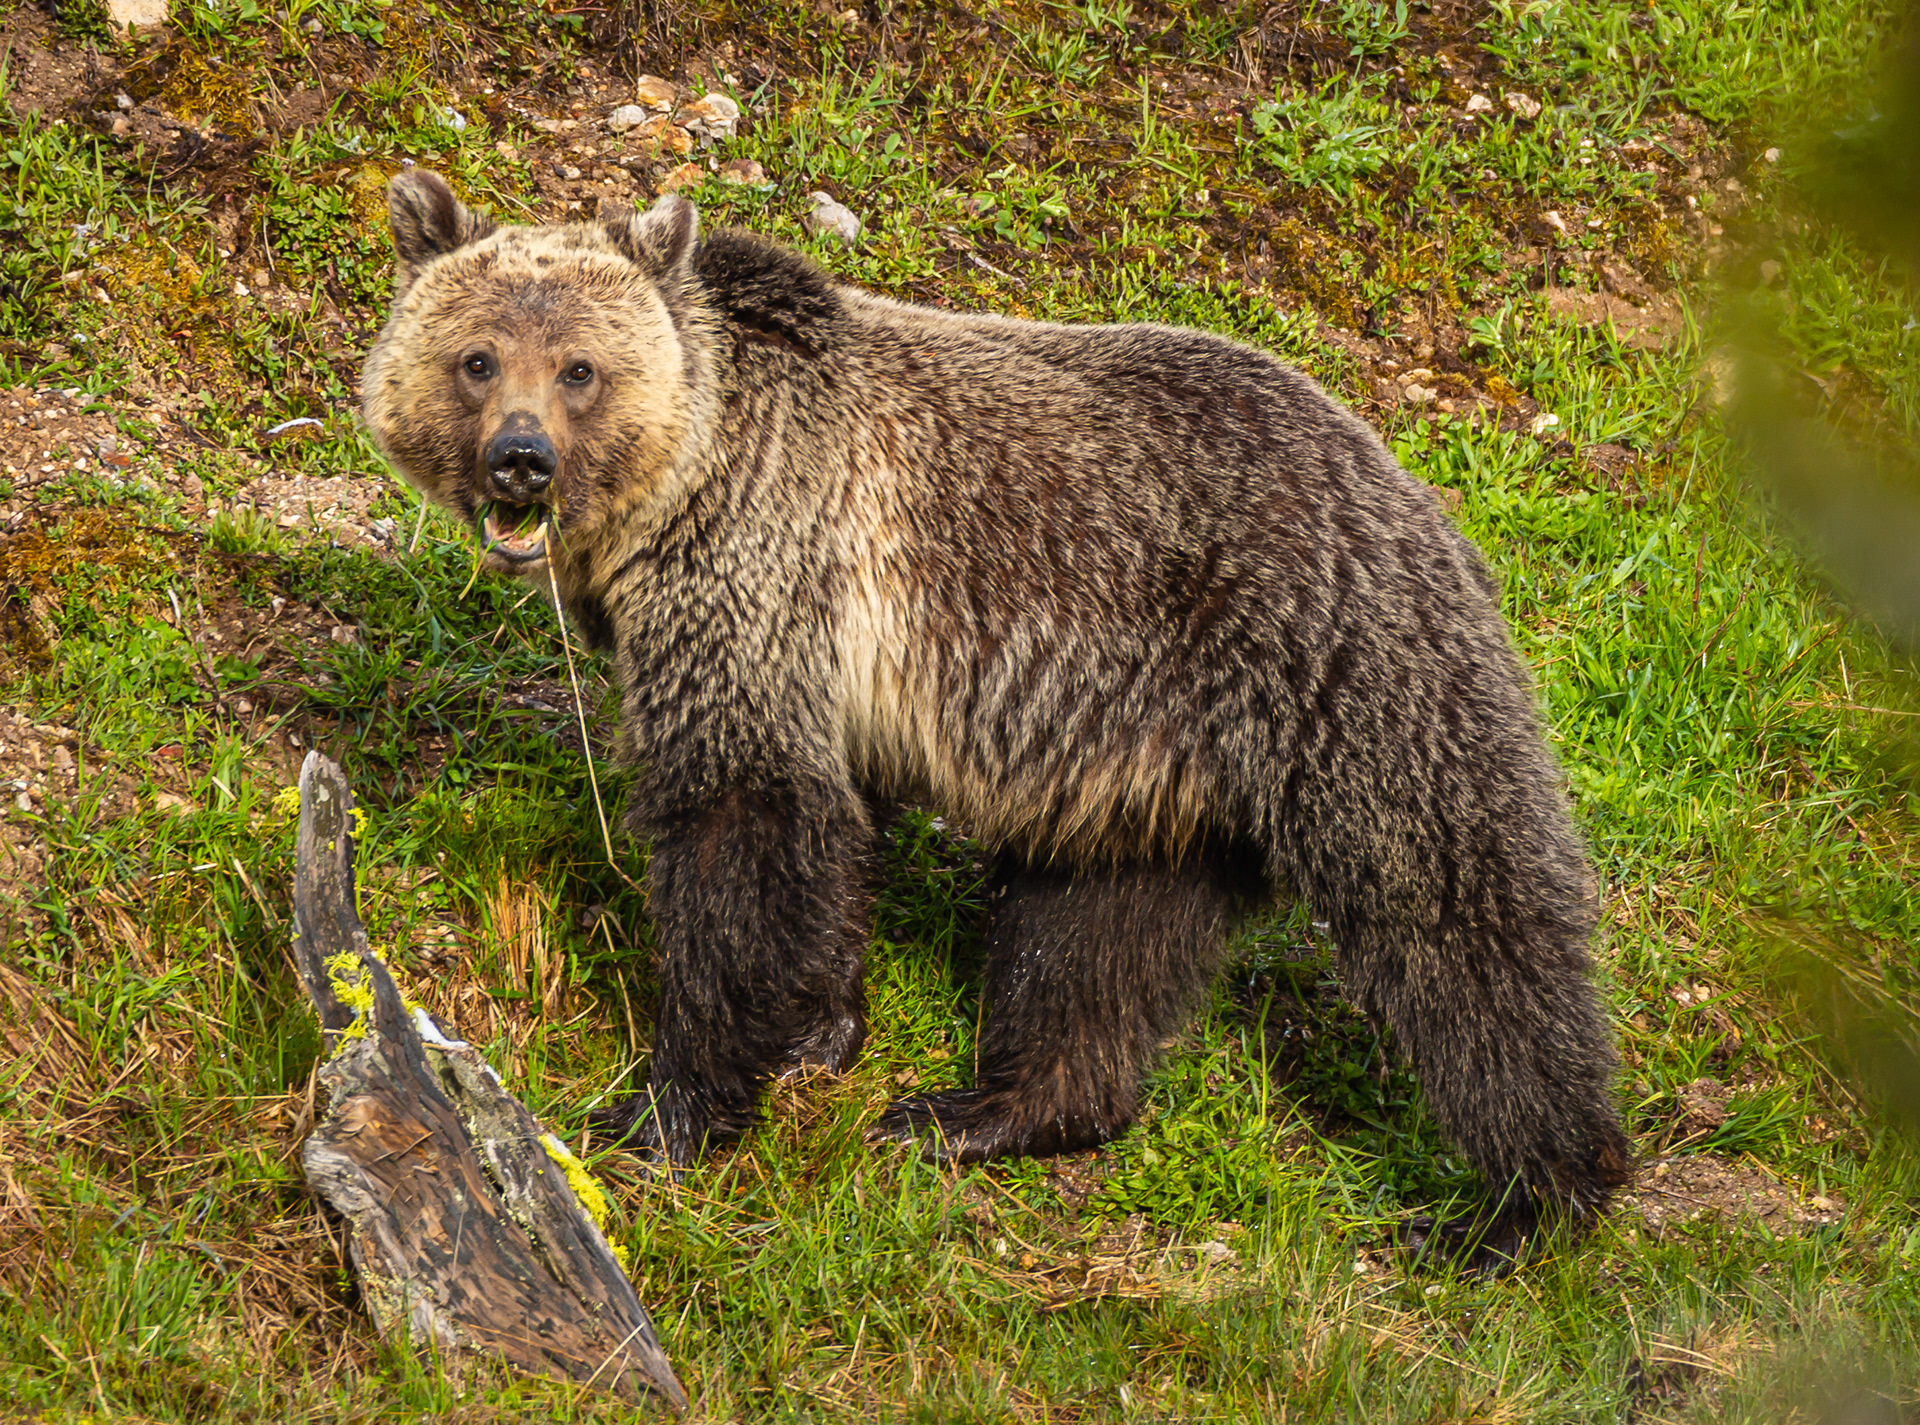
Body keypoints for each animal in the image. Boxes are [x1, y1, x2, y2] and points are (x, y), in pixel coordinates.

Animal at [362, 170, 1631, 1264]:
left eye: (579, 367)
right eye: (476, 357)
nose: (521, 462)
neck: (668, 496)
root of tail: (1413, 489)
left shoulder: (757, 568)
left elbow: (741, 816)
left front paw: (670, 1104)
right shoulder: (819, 661)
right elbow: (831, 841)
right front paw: (822, 1035)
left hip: (1347, 676)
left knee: (1458, 916)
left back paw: (1527, 1201)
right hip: (1142, 772)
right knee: (1093, 941)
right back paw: (979, 1111)